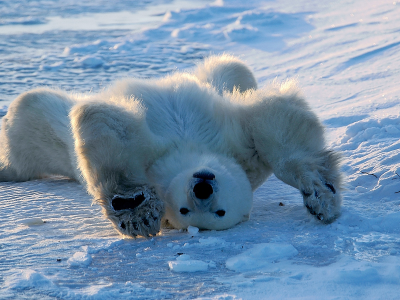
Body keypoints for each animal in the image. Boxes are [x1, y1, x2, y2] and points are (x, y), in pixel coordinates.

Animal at [0, 54, 344, 237]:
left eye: (219, 212)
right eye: (184, 208)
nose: (202, 187)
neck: (188, 151)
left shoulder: (242, 154)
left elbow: (276, 123)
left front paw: (320, 195)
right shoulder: (163, 154)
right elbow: (108, 125)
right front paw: (135, 208)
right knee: (29, 111)